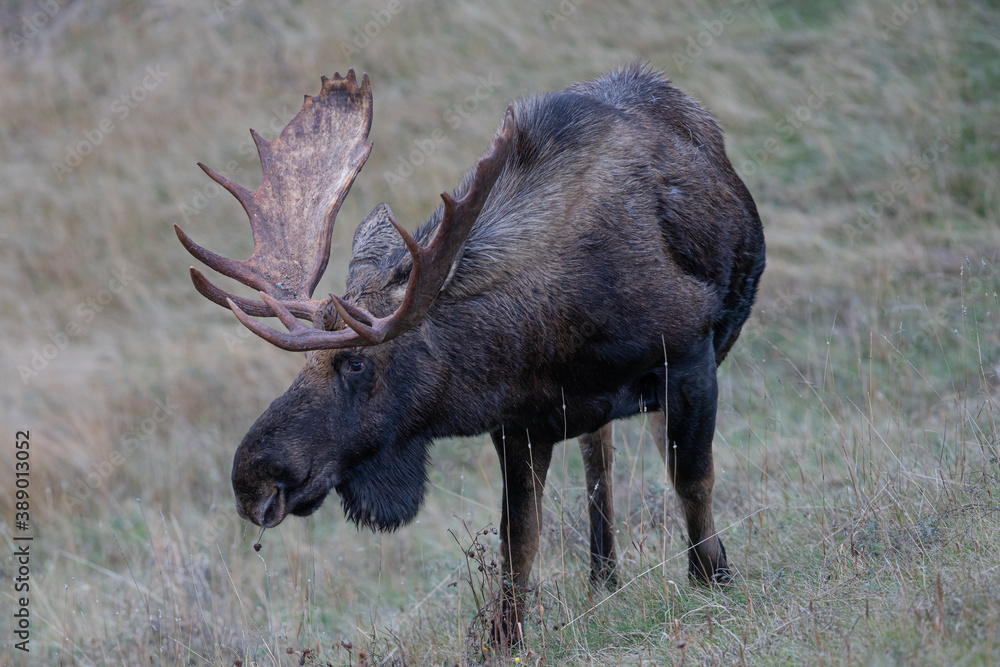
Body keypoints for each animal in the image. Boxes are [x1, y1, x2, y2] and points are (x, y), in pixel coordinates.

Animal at [176, 65, 764, 636]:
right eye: (304, 362)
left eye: (357, 361)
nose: (251, 480)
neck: (550, 334)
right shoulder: (521, 423)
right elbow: (520, 535)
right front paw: (505, 633)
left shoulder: (688, 356)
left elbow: (693, 482)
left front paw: (714, 579)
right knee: (599, 461)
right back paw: (603, 578)